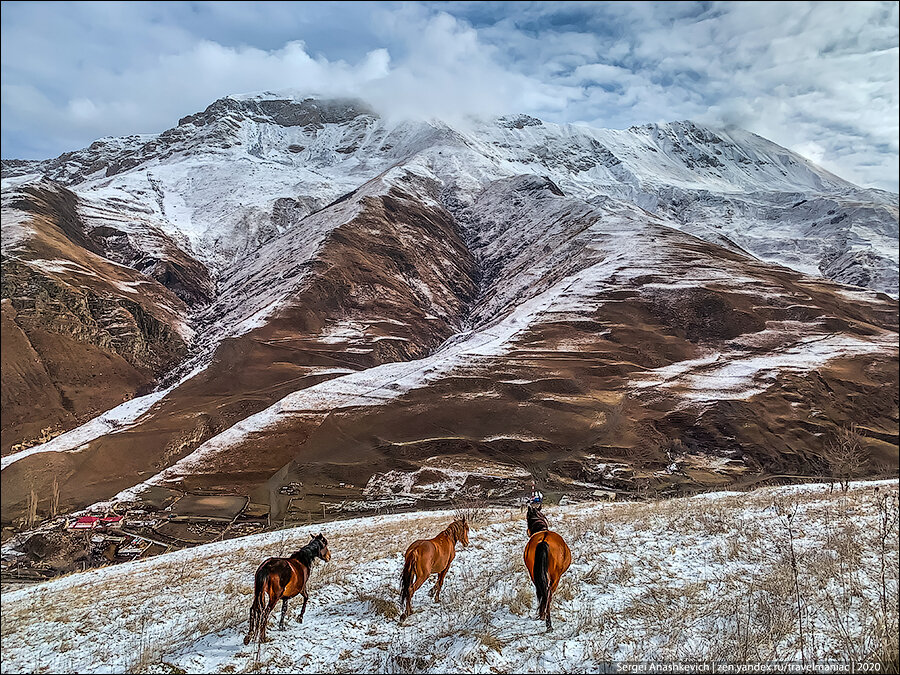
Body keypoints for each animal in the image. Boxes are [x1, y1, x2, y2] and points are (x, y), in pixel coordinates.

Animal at [524, 504, 572, 632]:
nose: (528, 532)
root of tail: (543, 540)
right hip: (555, 577)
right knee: (548, 593)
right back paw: (548, 623)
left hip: (534, 573)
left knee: (540, 591)